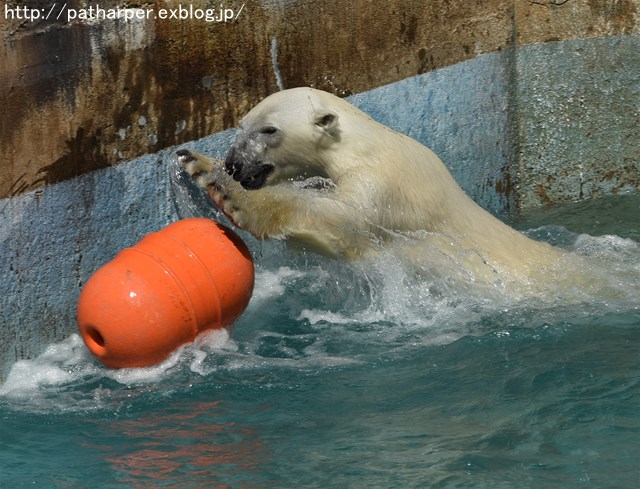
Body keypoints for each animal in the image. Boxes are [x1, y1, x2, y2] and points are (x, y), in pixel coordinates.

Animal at [176, 87, 564, 292]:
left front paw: (223, 190)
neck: (366, 144)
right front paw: (199, 161)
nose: (234, 164)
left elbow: (340, 220)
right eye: (241, 125)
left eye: (269, 130)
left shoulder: (380, 184)